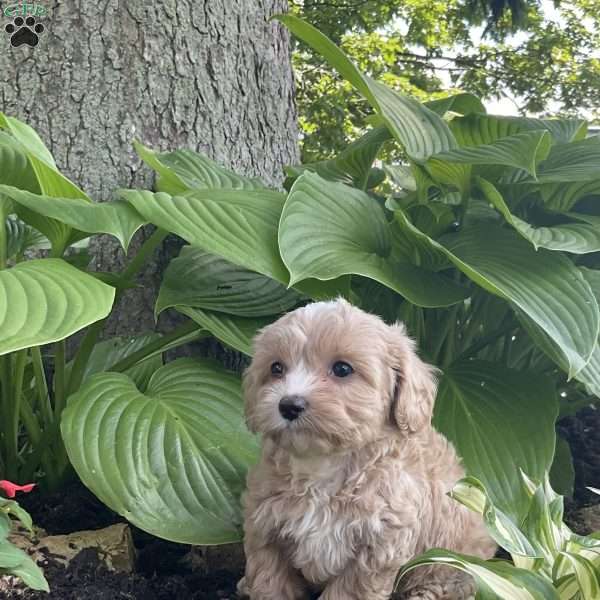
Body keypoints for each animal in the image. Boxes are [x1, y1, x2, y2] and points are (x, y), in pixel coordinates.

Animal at [237, 300, 494, 600]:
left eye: (342, 369)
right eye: (276, 368)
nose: (289, 405)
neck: (323, 467)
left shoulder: (379, 546)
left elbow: (348, 591)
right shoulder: (265, 529)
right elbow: (270, 582)